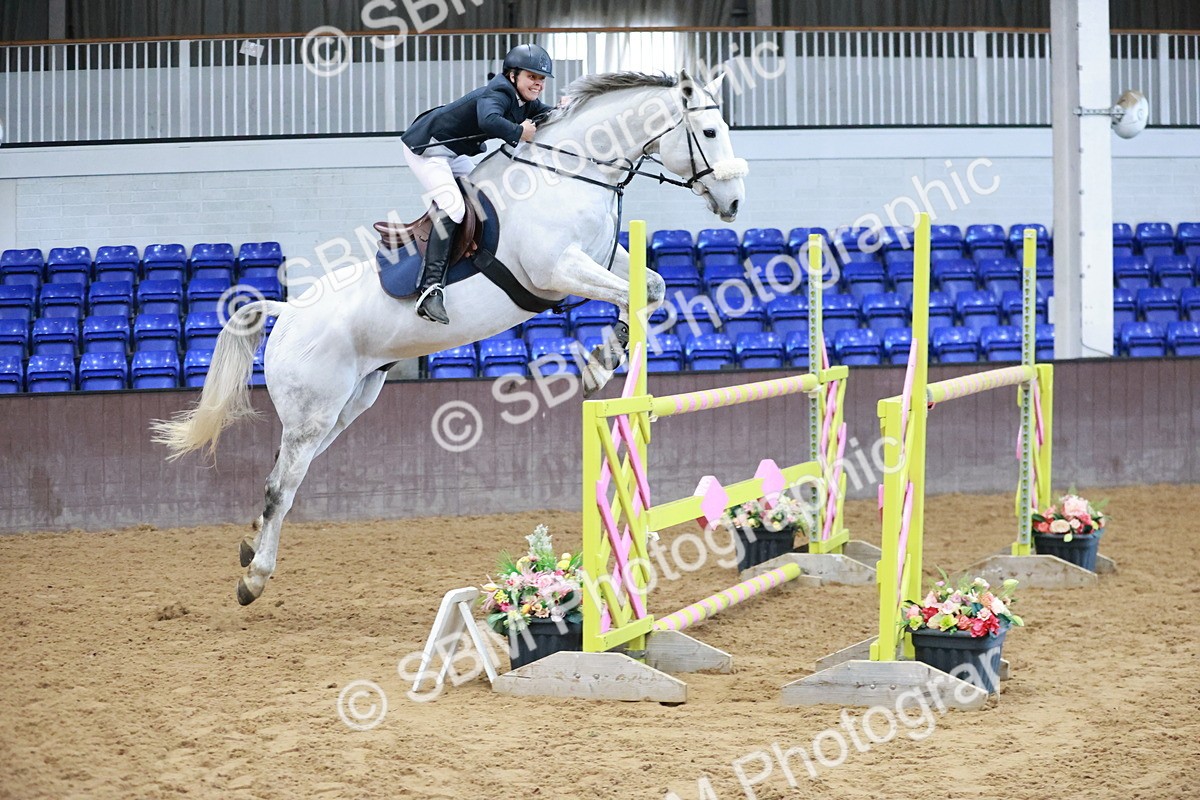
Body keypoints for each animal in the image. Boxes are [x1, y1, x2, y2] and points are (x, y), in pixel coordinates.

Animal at [151, 69, 748, 606]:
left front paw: (609, 353)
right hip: (313, 411)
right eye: (710, 131)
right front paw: (603, 360)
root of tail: (289, 312)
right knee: (282, 485)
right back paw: (253, 580)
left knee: (284, 475)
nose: (734, 204)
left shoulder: (599, 260)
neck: (570, 172)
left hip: (346, 406)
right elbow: (635, 294)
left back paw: (250, 546)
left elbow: (649, 288)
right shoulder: (556, 270)